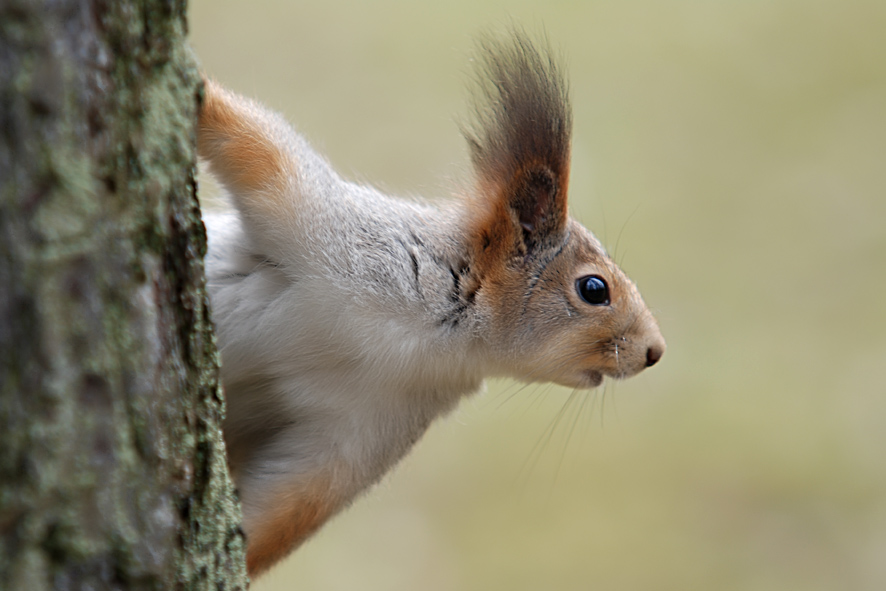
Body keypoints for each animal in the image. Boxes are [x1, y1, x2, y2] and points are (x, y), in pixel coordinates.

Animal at [196, 31, 664, 580]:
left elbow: (296, 502)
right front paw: (196, 88)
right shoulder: (325, 227)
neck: (429, 334)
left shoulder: (369, 425)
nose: (655, 351)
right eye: (594, 289)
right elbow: (259, 150)